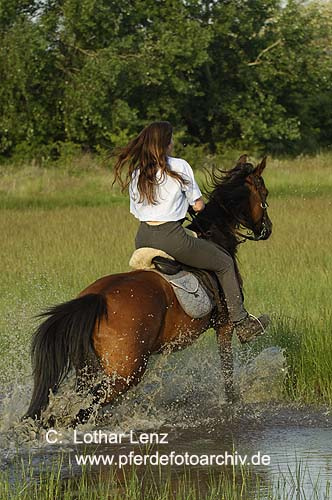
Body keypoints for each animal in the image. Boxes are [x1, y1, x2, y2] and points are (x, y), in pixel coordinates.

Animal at [26, 154, 272, 424]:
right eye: (264, 193)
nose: (267, 230)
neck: (216, 237)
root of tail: (97, 298)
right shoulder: (224, 325)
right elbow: (227, 371)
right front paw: (232, 404)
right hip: (125, 372)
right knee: (88, 407)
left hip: (91, 368)